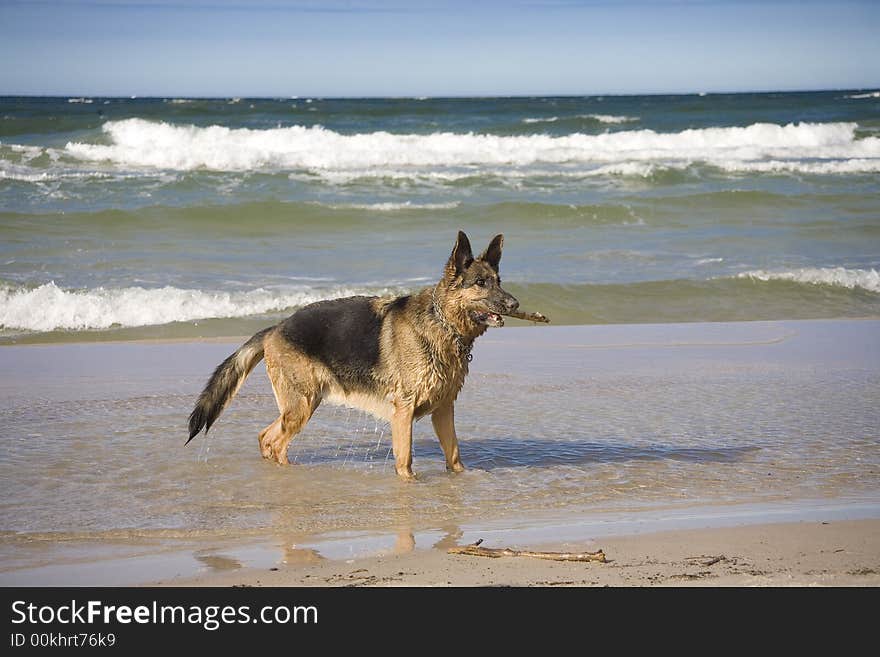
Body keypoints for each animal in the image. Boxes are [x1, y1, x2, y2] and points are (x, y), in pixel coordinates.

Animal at [186, 233, 516, 480]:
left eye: (498, 280)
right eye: (480, 283)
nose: (515, 304)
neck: (441, 323)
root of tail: (276, 327)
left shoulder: (444, 410)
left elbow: (455, 455)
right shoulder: (403, 412)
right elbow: (405, 460)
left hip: (301, 405)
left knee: (265, 437)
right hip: (302, 405)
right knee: (276, 443)